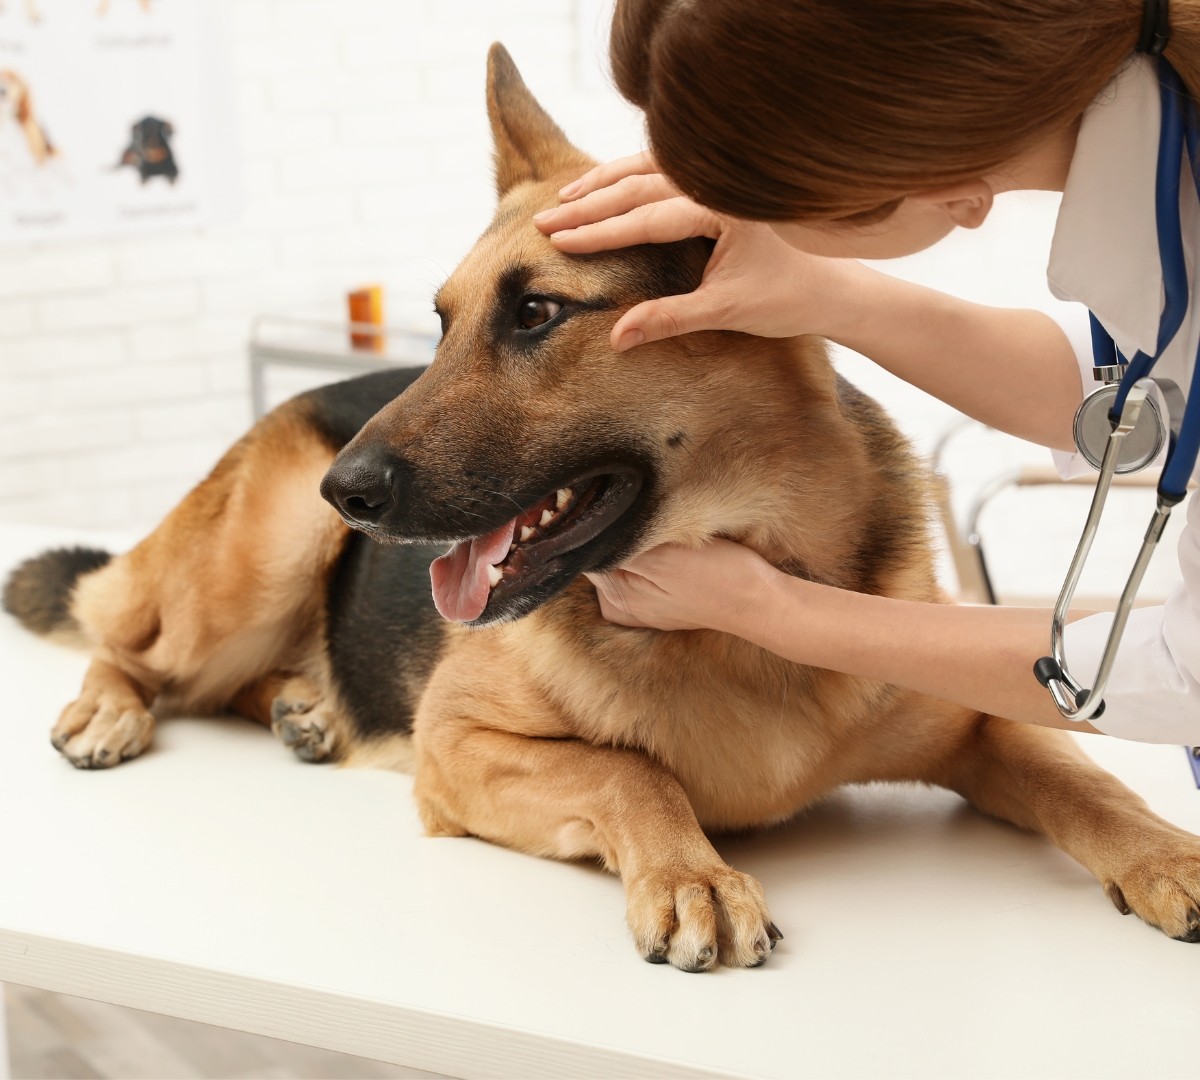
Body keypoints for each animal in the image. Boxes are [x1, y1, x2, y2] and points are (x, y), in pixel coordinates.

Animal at [7, 44, 1200, 969]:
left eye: (537, 313)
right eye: (439, 323)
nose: (346, 492)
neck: (733, 629)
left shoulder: (988, 720)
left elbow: (1084, 774)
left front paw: (1168, 852)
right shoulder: (457, 746)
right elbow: (627, 767)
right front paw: (690, 873)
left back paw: (308, 709)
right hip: (253, 565)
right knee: (134, 642)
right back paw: (117, 708)